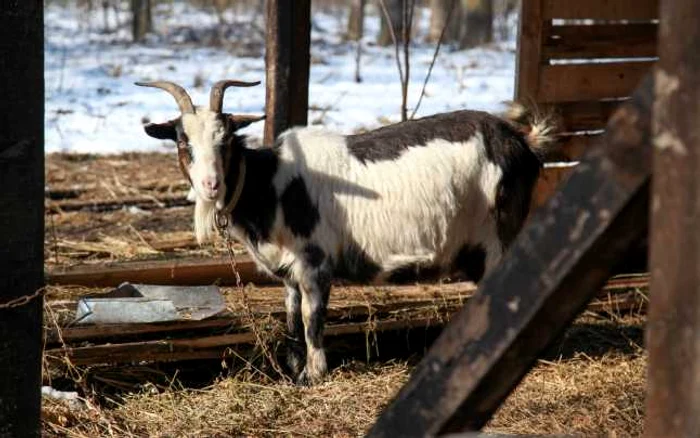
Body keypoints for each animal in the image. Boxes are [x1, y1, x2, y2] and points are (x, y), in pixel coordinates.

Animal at [135, 80, 552, 384]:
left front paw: (315, 375)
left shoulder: (315, 262)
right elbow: (291, 318)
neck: (270, 185)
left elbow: (312, 319)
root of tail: (521, 141)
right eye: (183, 142)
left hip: (499, 234)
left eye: (226, 141)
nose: (211, 185)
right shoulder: (290, 272)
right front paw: (294, 370)